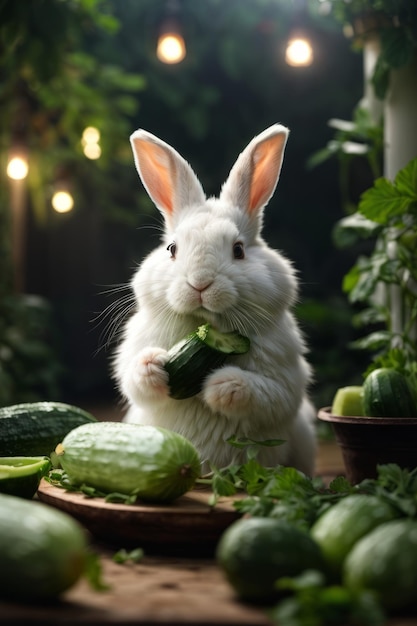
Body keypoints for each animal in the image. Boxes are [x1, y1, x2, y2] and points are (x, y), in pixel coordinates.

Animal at [113, 124, 316, 476]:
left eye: (238, 250)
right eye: (172, 249)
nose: (200, 283)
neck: (205, 325)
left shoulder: (285, 379)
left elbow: (267, 394)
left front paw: (219, 385)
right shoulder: (132, 358)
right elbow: (135, 378)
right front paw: (154, 365)